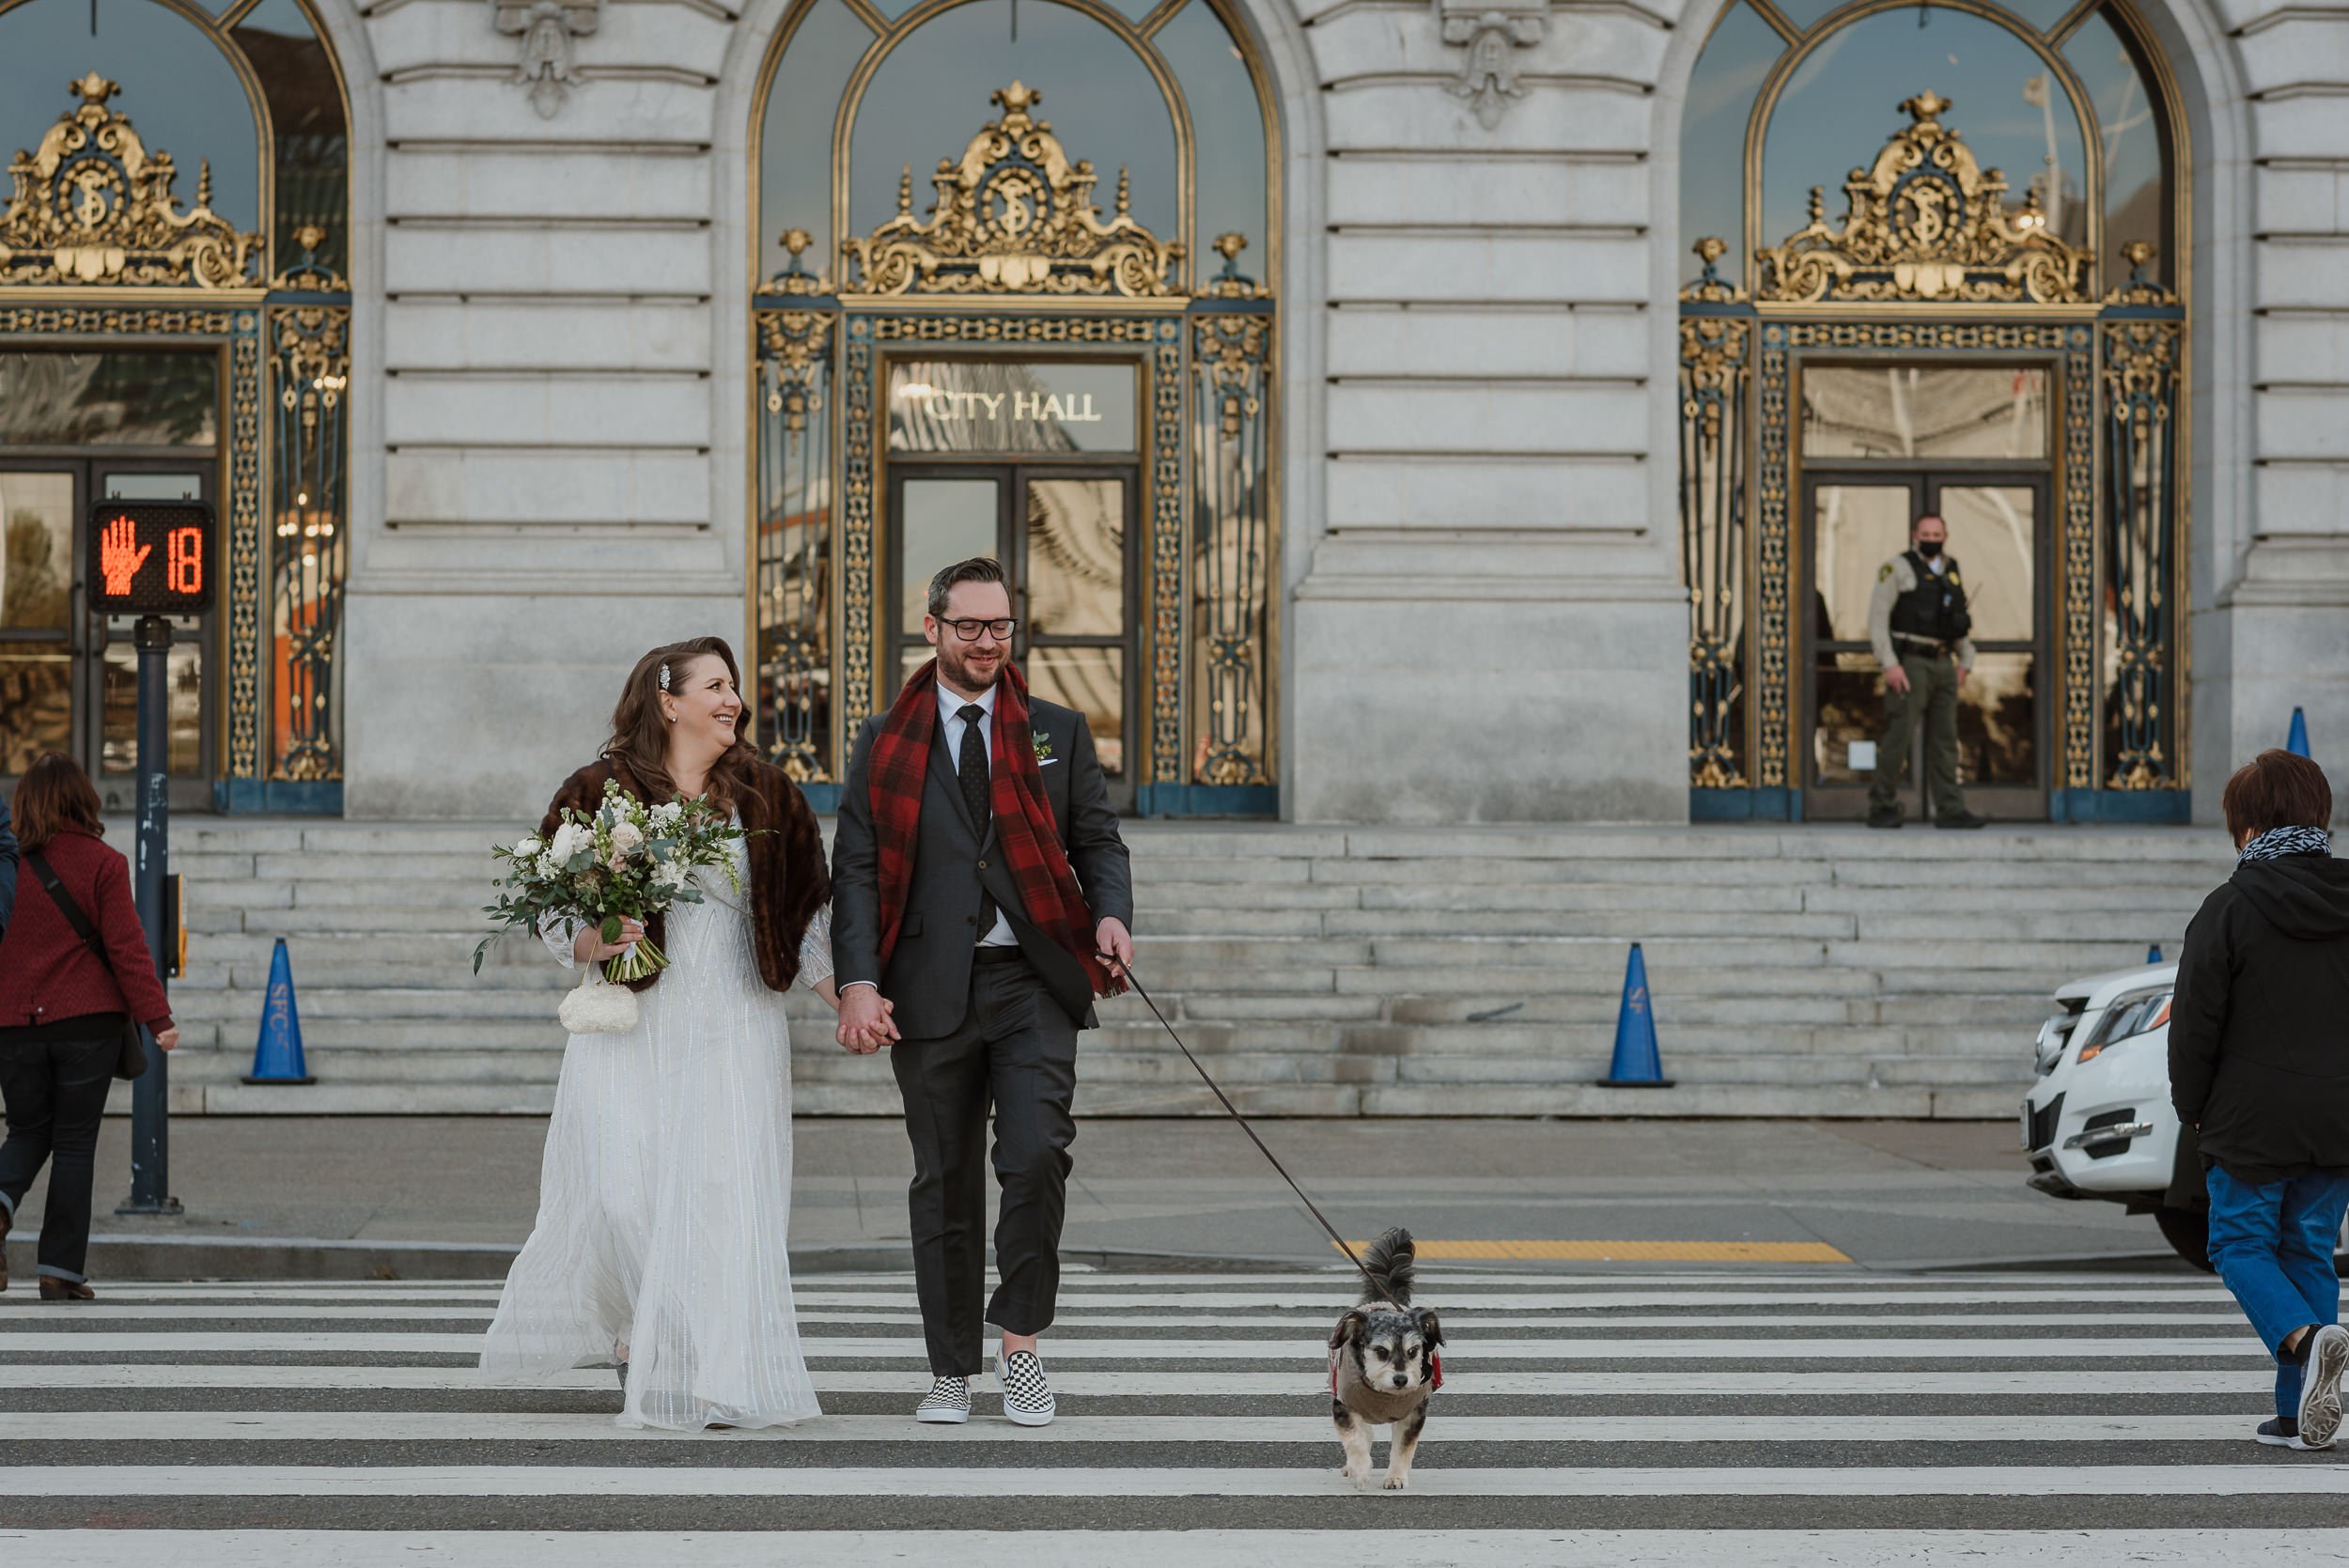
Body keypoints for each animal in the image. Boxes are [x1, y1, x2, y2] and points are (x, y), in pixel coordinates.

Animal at [1334, 1220, 1438, 1493]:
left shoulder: (1414, 1414)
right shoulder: (1343, 1406)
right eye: (1381, 1352)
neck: (1384, 1394)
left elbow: (1403, 1448)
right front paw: (1360, 1472)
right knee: (1364, 1435)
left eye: (1413, 1351)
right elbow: (1355, 1439)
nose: (1401, 1380)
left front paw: (1396, 1477)